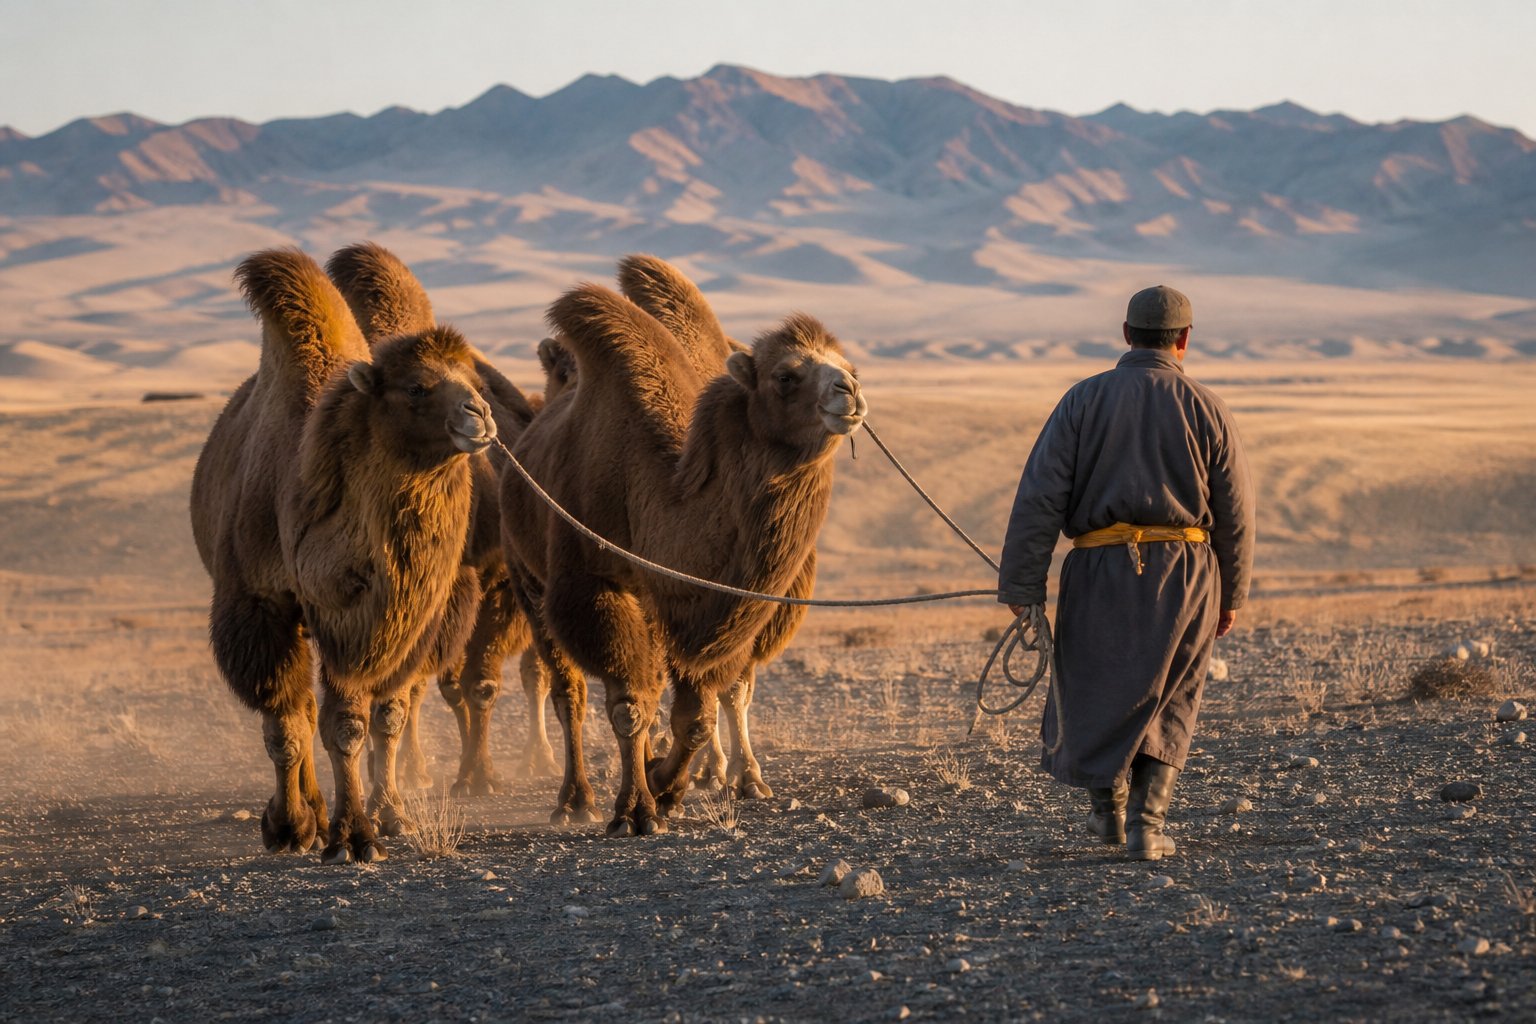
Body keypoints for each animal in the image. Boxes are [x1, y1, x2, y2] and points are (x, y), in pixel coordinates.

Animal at [191, 247, 496, 862]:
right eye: (417, 388)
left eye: (472, 379)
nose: (478, 415)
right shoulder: (262, 605)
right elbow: (288, 724)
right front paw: (297, 828)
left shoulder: (388, 623)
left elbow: (366, 722)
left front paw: (373, 824)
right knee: (299, 710)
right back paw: (307, 815)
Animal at [499, 268, 866, 836]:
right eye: (786, 375)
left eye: (847, 365)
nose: (850, 390)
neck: (650, 485)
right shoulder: (595, 586)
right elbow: (628, 705)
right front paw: (636, 809)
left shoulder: (696, 601)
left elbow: (695, 715)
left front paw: (665, 785)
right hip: (528, 577)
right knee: (568, 692)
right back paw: (574, 799)